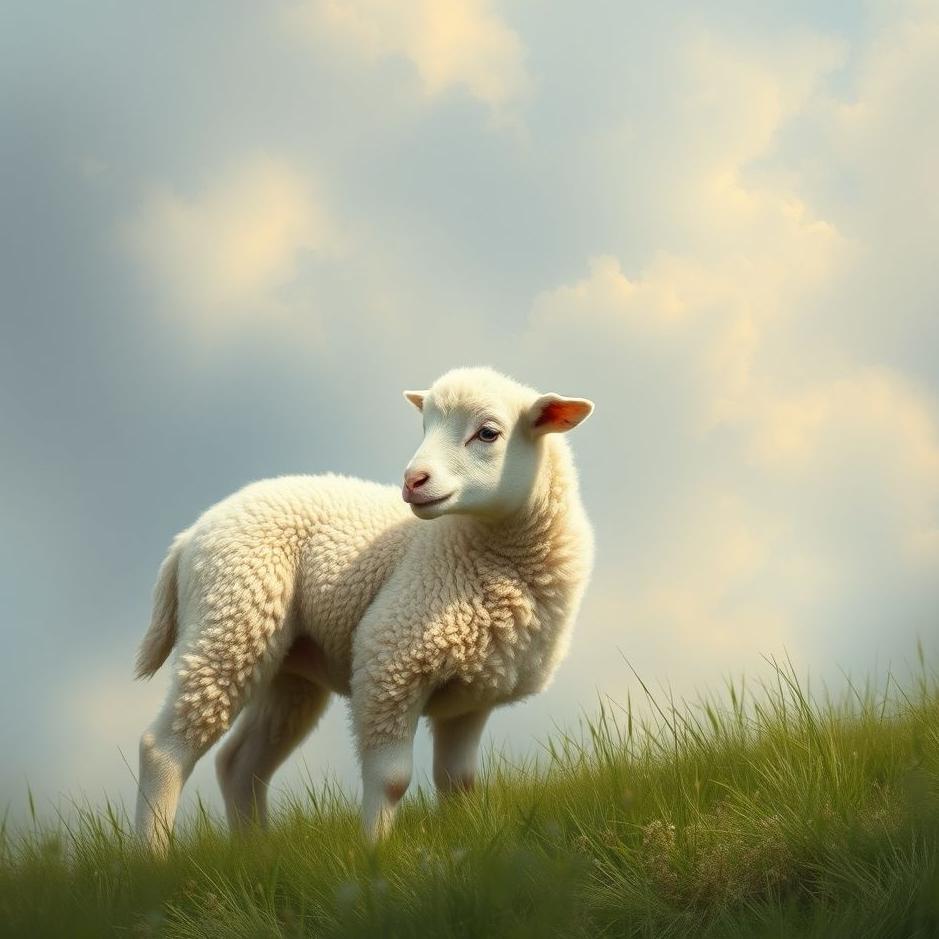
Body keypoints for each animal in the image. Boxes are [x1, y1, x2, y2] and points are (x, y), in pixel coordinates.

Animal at [134, 366, 595, 850]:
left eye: (488, 433)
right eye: (424, 425)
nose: (413, 481)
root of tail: (188, 536)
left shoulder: (473, 697)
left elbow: (458, 782)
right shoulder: (390, 659)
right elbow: (392, 780)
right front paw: (375, 852)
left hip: (285, 670)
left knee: (240, 763)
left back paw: (253, 851)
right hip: (229, 618)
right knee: (164, 749)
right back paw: (154, 856)